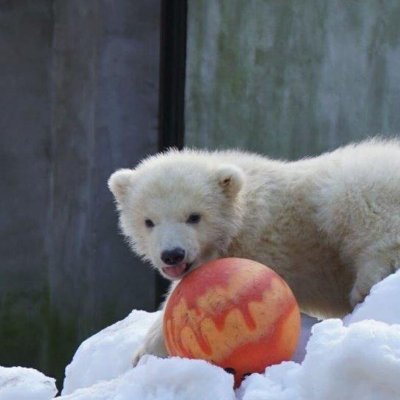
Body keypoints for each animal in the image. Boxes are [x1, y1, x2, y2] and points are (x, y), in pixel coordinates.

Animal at [108, 139, 400, 364]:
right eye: (148, 221)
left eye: (194, 216)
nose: (172, 254)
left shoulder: (255, 246)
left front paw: (144, 353)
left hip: (359, 184)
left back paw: (367, 282)